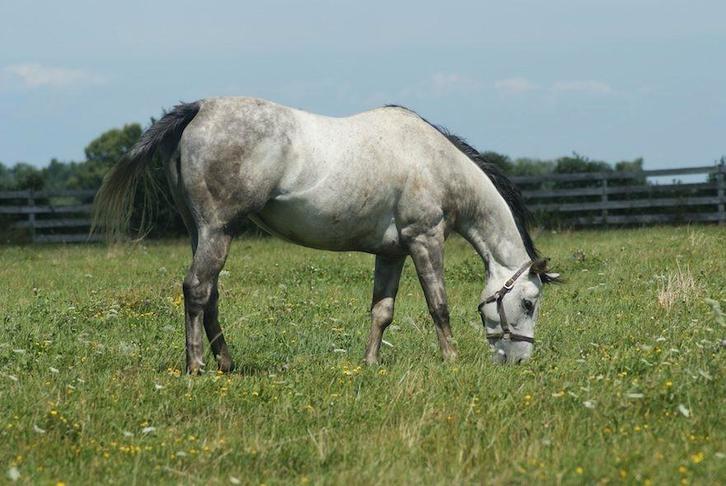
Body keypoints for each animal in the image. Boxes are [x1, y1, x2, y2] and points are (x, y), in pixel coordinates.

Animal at [93, 97, 559, 373]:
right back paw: (196, 367)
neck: (434, 162)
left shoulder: (392, 252)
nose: (519, 360)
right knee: (196, 290)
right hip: (216, 231)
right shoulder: (425, 240)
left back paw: (226, 363)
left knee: (210, 295)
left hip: (201, 232)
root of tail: (198, 109)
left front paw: (370, 363)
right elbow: (439, 306)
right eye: (529, 302)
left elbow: (382, 312)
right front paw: (451, 360)